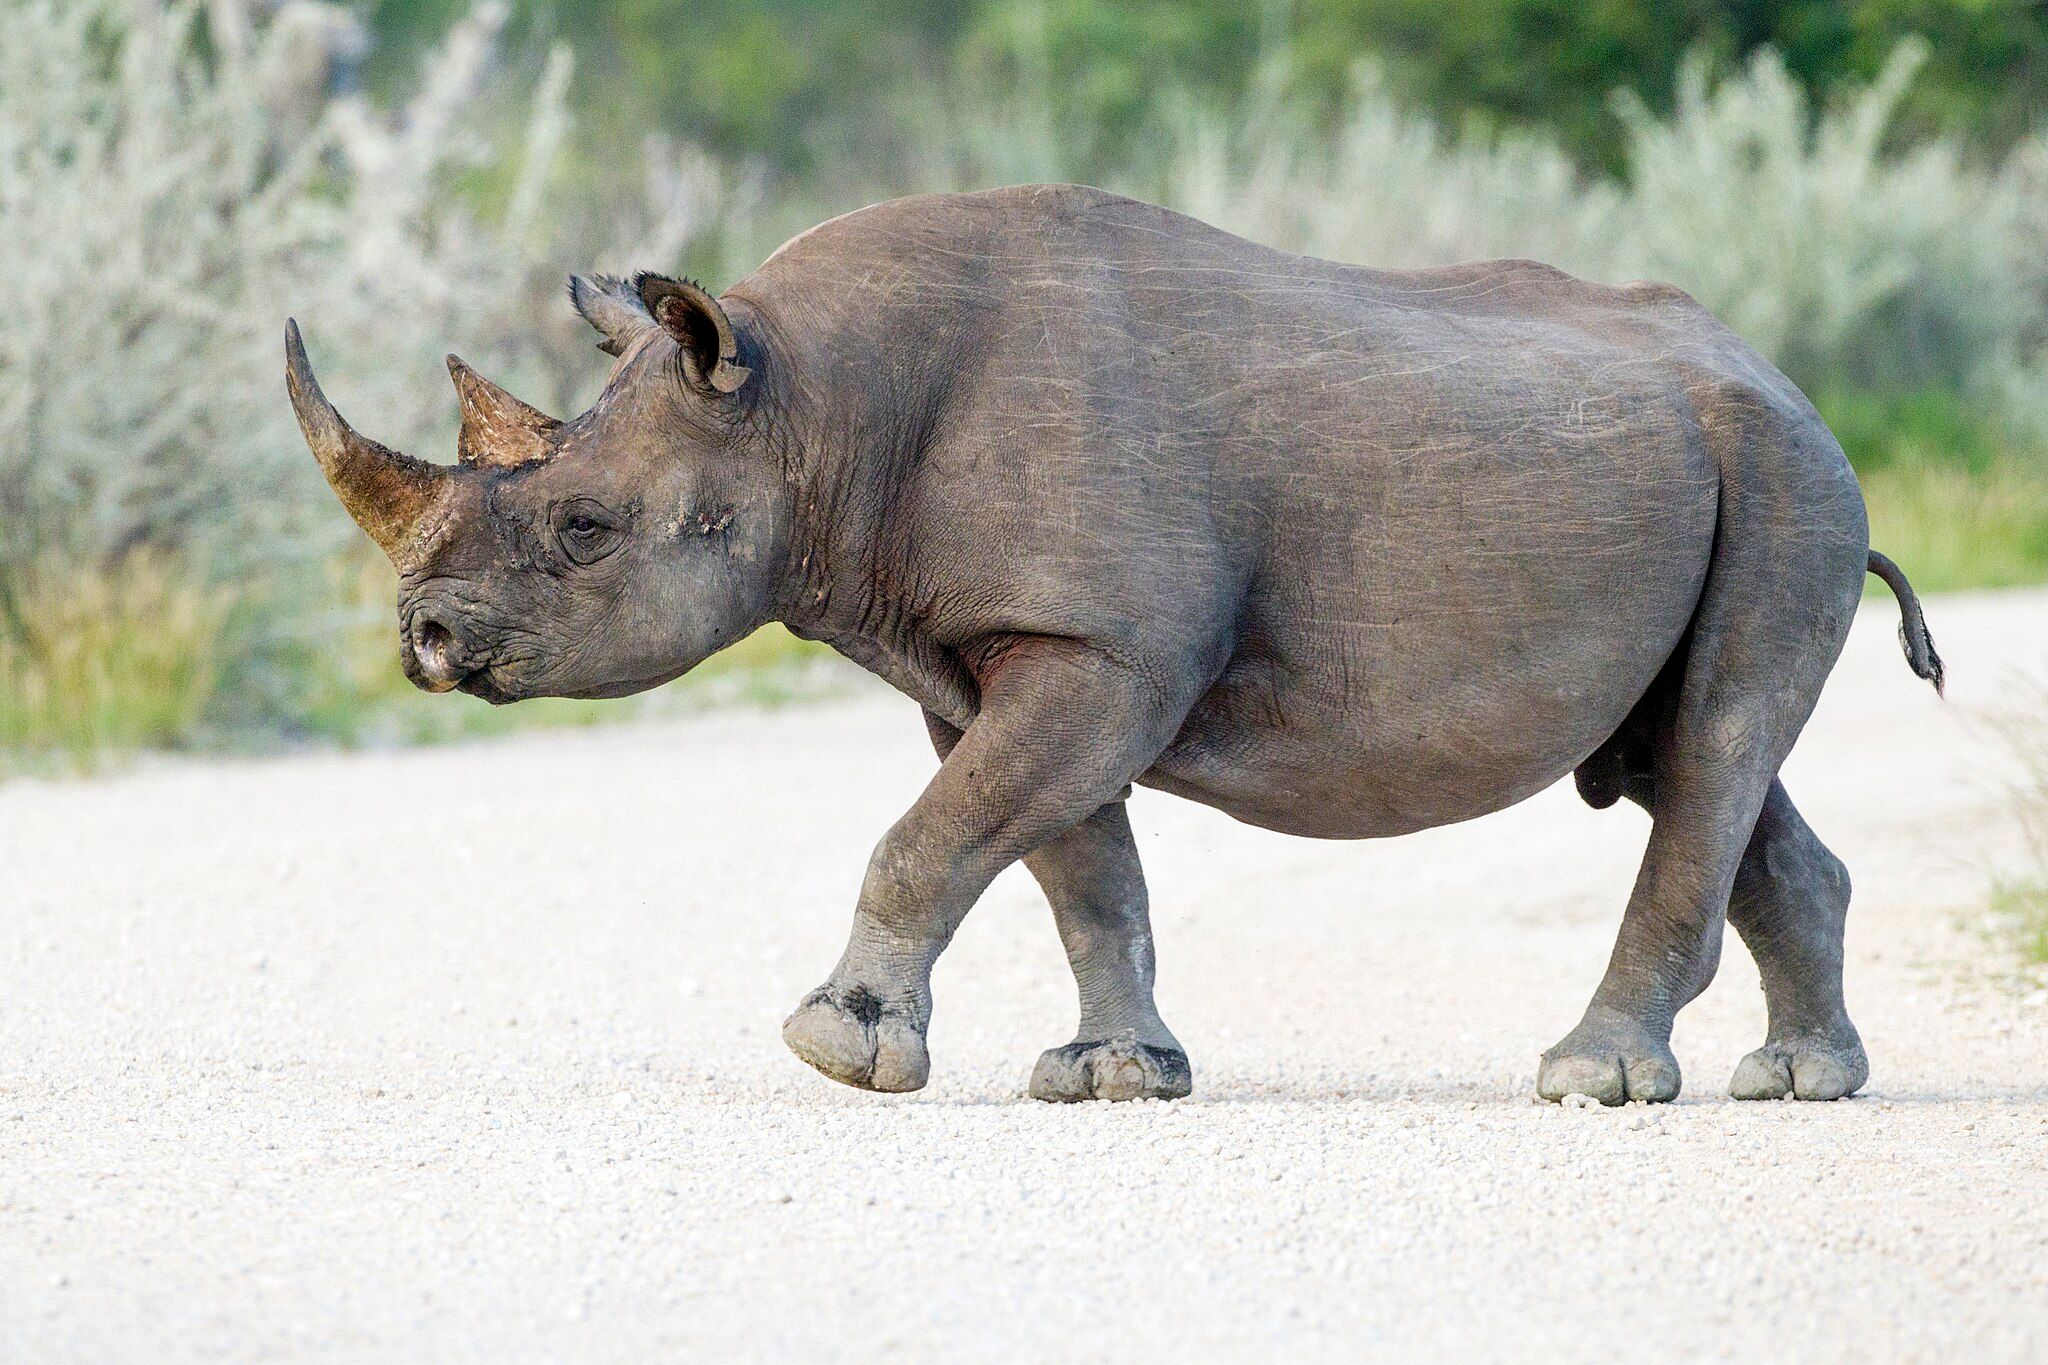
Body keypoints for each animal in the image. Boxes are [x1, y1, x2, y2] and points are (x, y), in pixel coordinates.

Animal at [285, 184, 1943, 1105]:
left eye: (585, 531)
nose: (426, 639)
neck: (807, 401)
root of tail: (1780, 378)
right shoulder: (1009, 652)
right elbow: (1070, 865)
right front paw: (1113, 1078)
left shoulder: (1104, 648)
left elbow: (934, 839)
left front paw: (838, 1051)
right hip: (1731, 473)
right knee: (1691, 756)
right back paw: (1802, 1083)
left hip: (1790, 480)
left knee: (1714, 744)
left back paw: (1593, 1080)